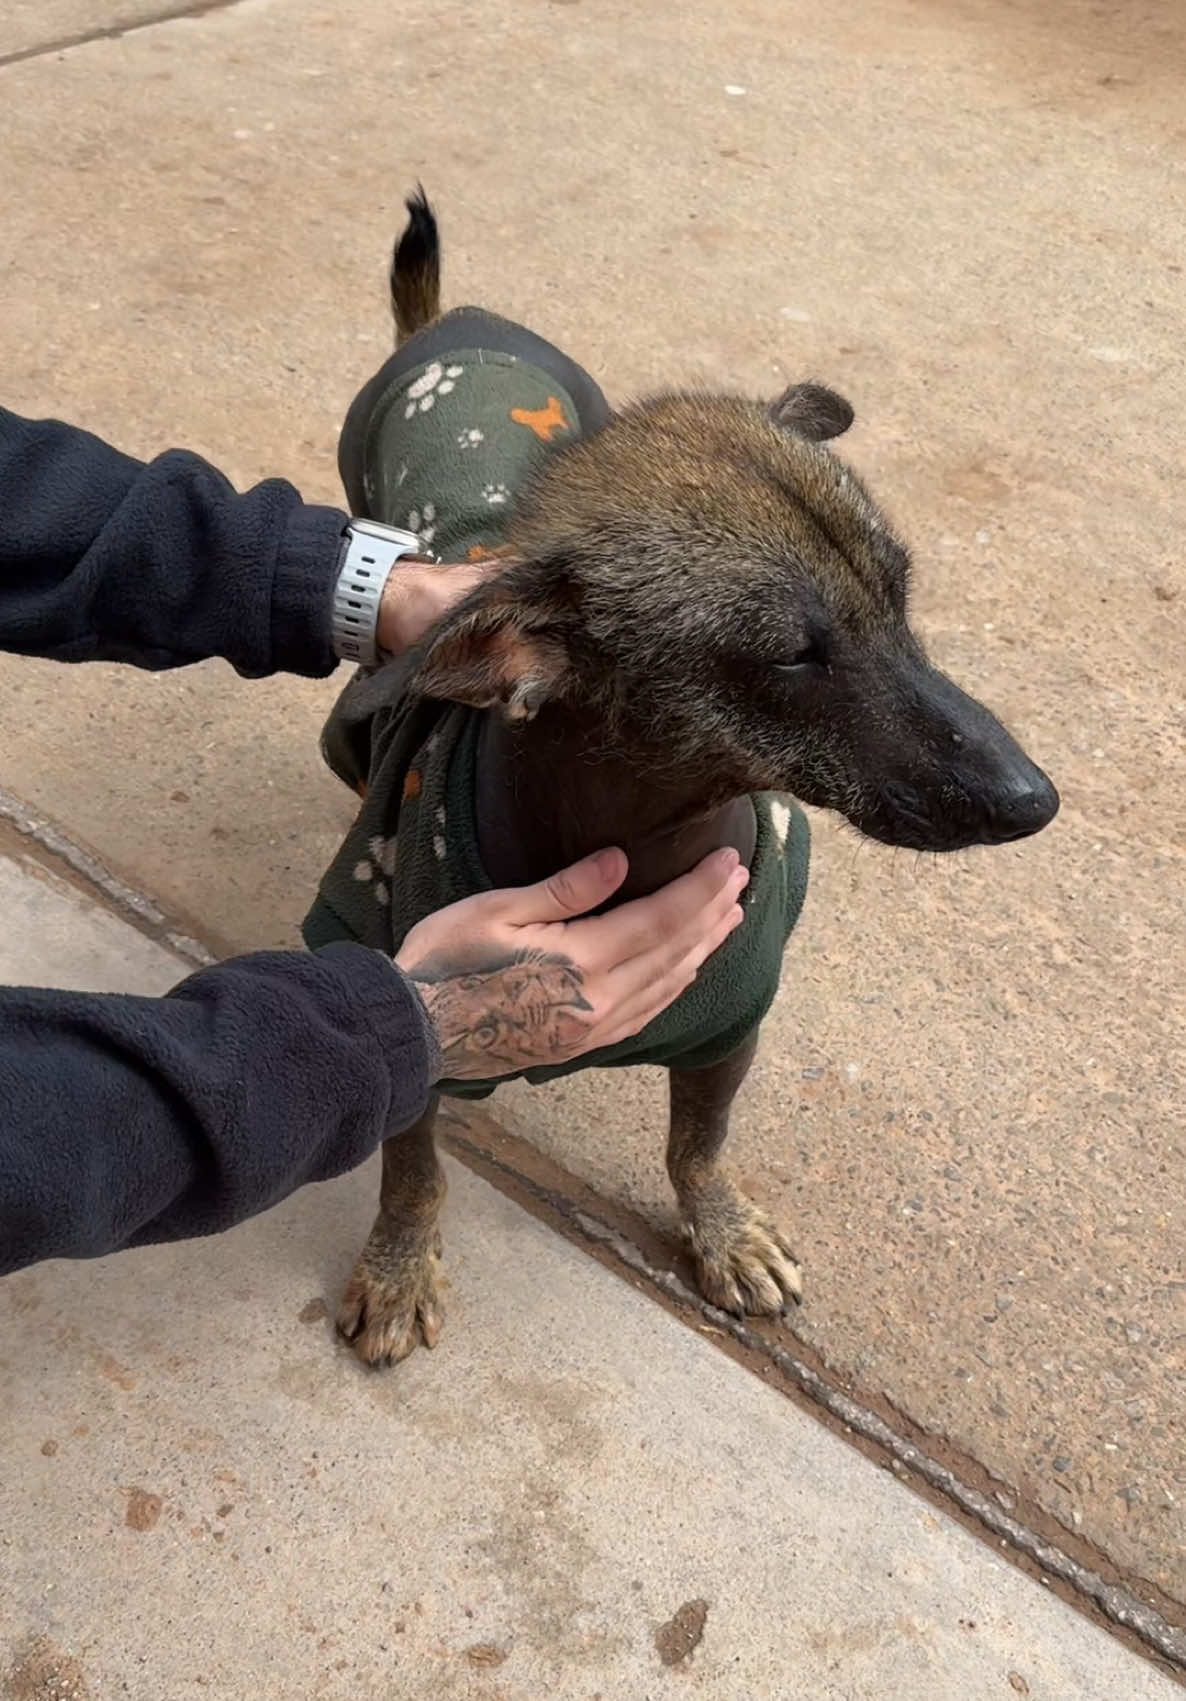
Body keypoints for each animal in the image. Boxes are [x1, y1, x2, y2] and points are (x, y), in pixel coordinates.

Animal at [304, 193, 1054, 1360]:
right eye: (792, 656)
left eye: (900, 596)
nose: (1036, 798)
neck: (648, 830)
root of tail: (451, 323)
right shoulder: (416, 1020)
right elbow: (413, 1171)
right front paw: (397, 1267)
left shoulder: (730, 1031)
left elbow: (696, 1144)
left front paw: (722, 1231)